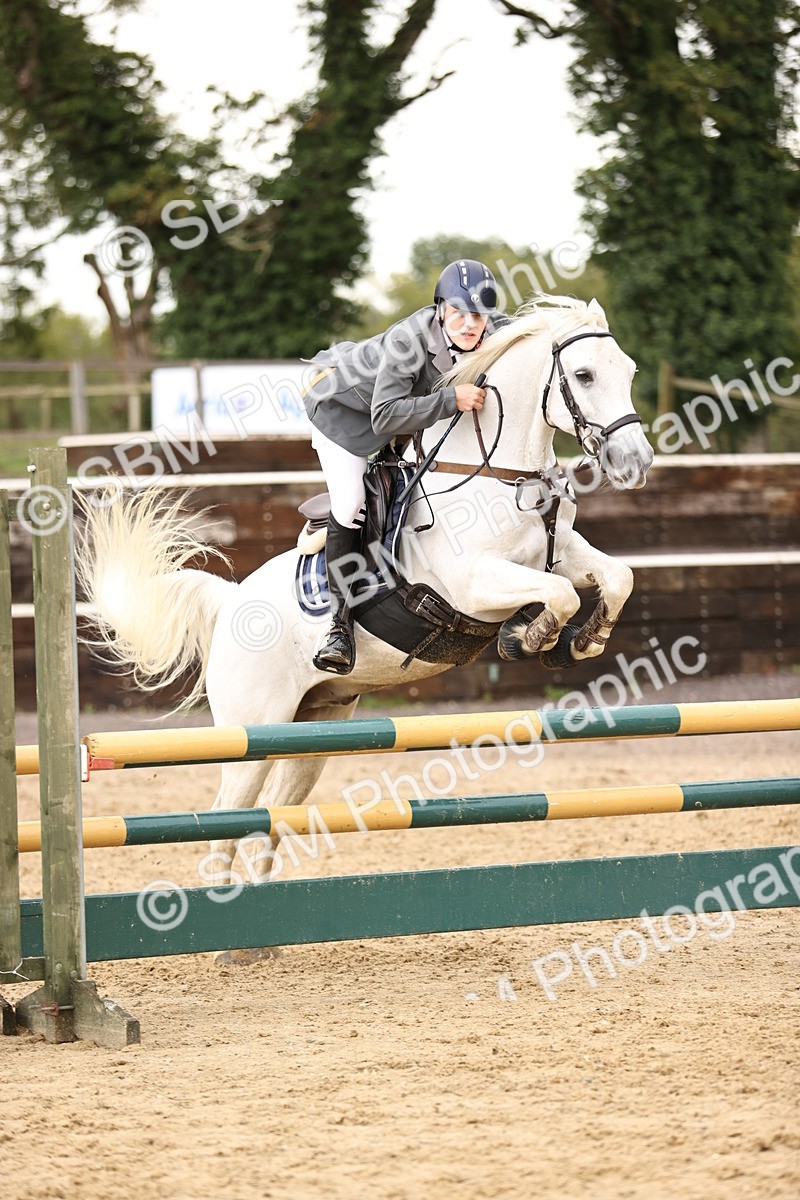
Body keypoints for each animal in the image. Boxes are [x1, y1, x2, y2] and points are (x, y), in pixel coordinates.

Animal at [76, 295, 654, 893]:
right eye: (584, 375)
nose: (636, 462)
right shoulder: (475, 584)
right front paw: (529, 637)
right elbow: (560, 595)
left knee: (268, 821)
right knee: (223, 826)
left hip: (314, 727)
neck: (494, 473)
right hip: (252, 731)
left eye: (629, 371)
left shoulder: (559, 552)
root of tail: (232, 603)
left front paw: (584, 641)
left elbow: (615, 577)